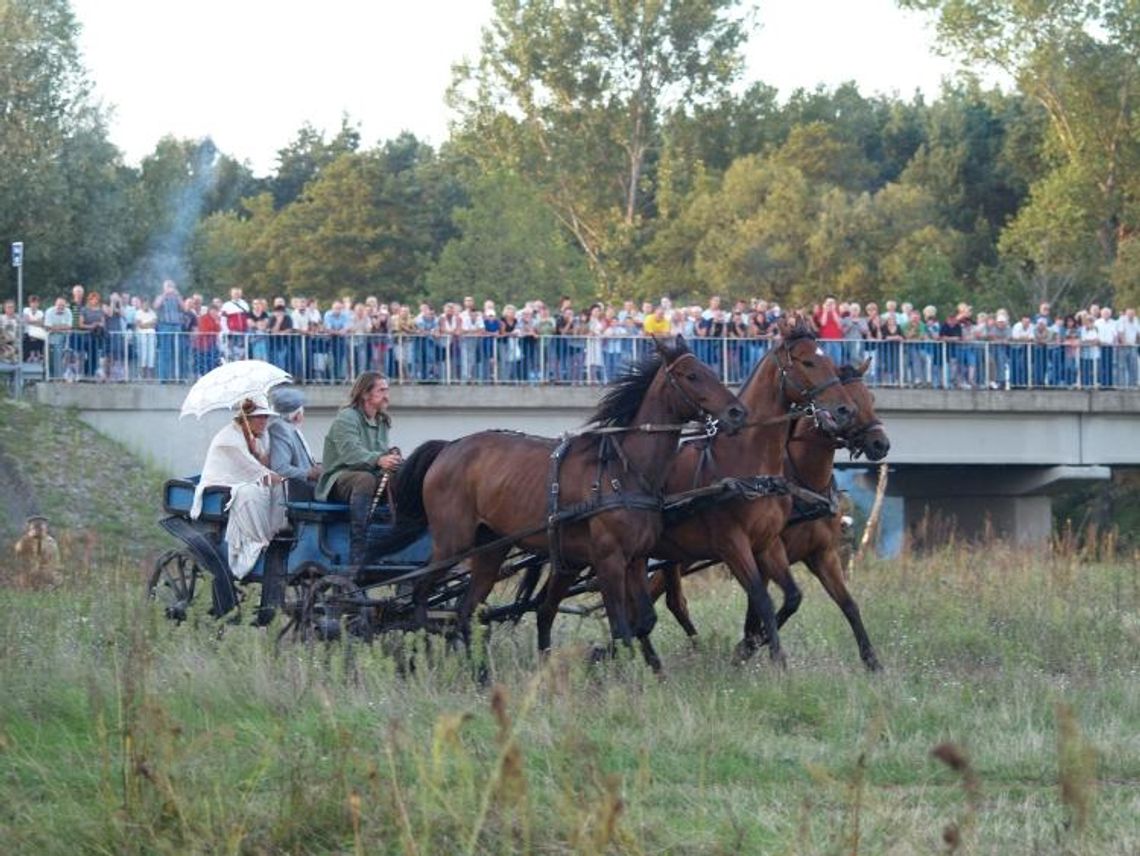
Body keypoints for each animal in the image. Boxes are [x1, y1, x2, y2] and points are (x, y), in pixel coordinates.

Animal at [389, 335, 747, 661]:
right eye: (691, 375)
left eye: (711, 369)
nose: (737, 412)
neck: (623, 470)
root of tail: (448, 447)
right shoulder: (608, 560)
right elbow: (622, 628)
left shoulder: (635, 558)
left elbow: (643, 621)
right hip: (453, 542)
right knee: (420, 596)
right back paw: (420, 652)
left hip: (490, 547)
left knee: (466, 613)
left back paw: (479, 673)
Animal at [533, 321, 857, 670]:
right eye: (808, 362)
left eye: (831, 363)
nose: (845, 410)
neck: (748, 461)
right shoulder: (732, 543)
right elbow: (762, 599)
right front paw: (767, 658)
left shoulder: (768, 542)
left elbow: (790, 596)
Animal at [652, 360, 889, 670]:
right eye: (849, 404)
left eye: (870, 398)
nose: (881, 444)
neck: (802, 482)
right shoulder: (761, 551)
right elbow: (764, 605)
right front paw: (748, 646)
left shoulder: (822, 554)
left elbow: (847, 604)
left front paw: (873, 662)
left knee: (669, 599)